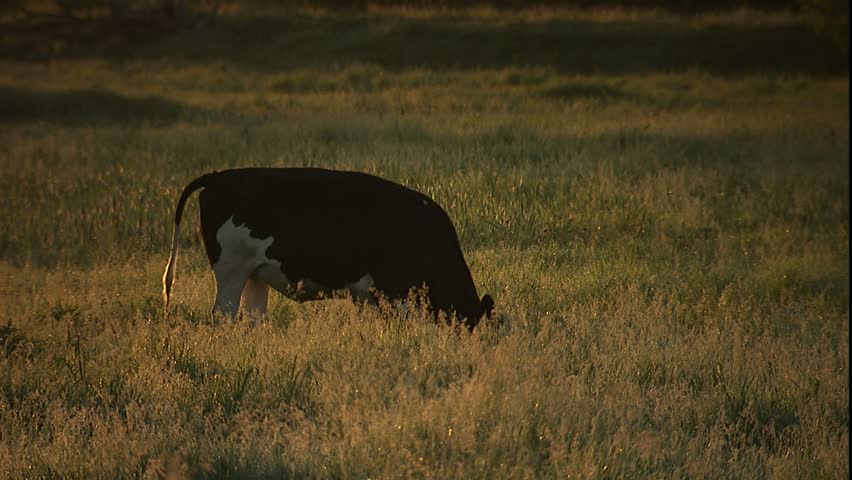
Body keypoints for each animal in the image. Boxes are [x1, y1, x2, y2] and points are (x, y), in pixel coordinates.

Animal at [162, 168, 494, 329]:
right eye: (468, 327)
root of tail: (218, 176)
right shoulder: (395, 291)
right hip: (231, 271)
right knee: (224, 314)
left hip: (254, 275)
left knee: (254, 316)